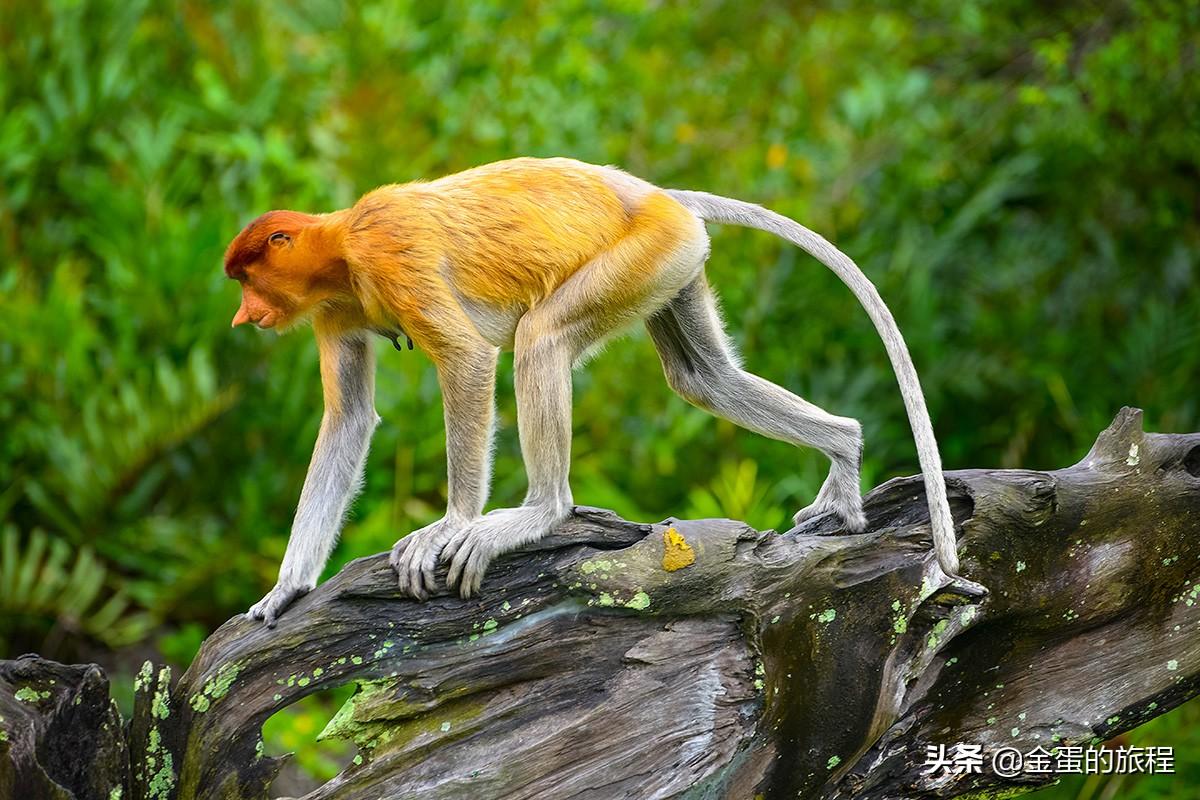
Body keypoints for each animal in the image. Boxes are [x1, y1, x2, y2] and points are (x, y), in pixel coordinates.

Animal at [223, 154, 955, 618]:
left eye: (248, 277)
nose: (242, 316)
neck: (340, 244)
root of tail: (661, 196)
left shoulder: (389, 252)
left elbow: (466, 358)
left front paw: (451, 525)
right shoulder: (334, 310)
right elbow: (349, 419)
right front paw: (285, 591)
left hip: (642, 253)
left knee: (541, 338)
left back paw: (538, 514)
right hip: (674, 263)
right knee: (704, 378)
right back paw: (844, 450)